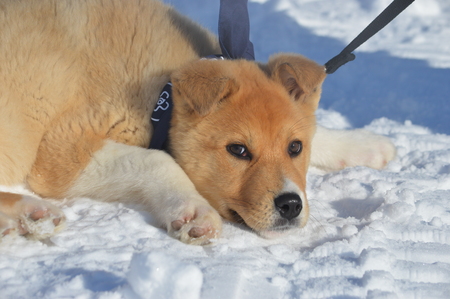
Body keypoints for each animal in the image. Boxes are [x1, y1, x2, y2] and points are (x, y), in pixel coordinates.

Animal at [0, 0, 394, 245]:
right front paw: (192, 211)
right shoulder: (63, 151)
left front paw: (367, 145)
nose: (290, 205)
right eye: (238, 150)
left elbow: (319, 130)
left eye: (295, 147)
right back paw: (29, 213)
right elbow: (158, 159)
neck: (161, 97)